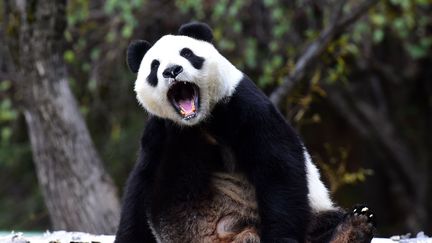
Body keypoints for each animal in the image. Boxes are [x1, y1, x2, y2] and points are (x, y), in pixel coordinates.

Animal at [115, 21, 374, 242]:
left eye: (187, 53)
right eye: (155, 66)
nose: (172, 70)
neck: (199, 121)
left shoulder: (243, 105)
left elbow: (278, 166)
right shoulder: (159, 131)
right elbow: (140, 185)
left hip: (311, 211)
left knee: (322, 223)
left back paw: (353, 229)